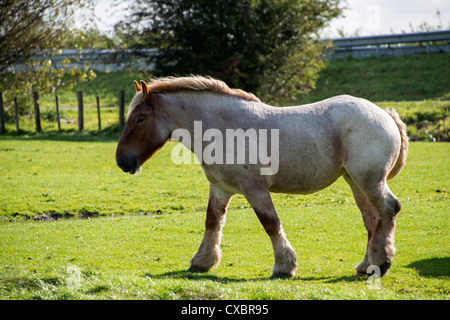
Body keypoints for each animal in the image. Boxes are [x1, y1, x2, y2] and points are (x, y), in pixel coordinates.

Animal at [115, 75, 408, 278]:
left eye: (140, 119)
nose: (121, 160)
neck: (224, 127)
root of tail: (385, 115)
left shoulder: (254, 188)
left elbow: (270, 223)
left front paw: (285, 266)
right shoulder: (220, 188)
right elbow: (212, 222)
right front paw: (202, 261)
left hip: (370, 180)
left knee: (389, 209)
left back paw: (381, 262)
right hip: (355, 181)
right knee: (373, 219)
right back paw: (367, 265)